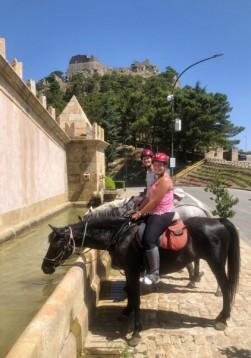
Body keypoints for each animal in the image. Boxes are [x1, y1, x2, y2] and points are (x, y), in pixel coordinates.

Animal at [41, 213, 241, 346]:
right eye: (49, 242)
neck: (120, 235)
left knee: (226, 287)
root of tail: (218, 221)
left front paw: (136, 332)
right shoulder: (129, 272)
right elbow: (130, 292)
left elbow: (136, 298)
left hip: (216, 263)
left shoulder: (132, 270)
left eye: (57, 243)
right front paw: (126, 312)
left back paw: (223, 318)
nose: (45, 267)